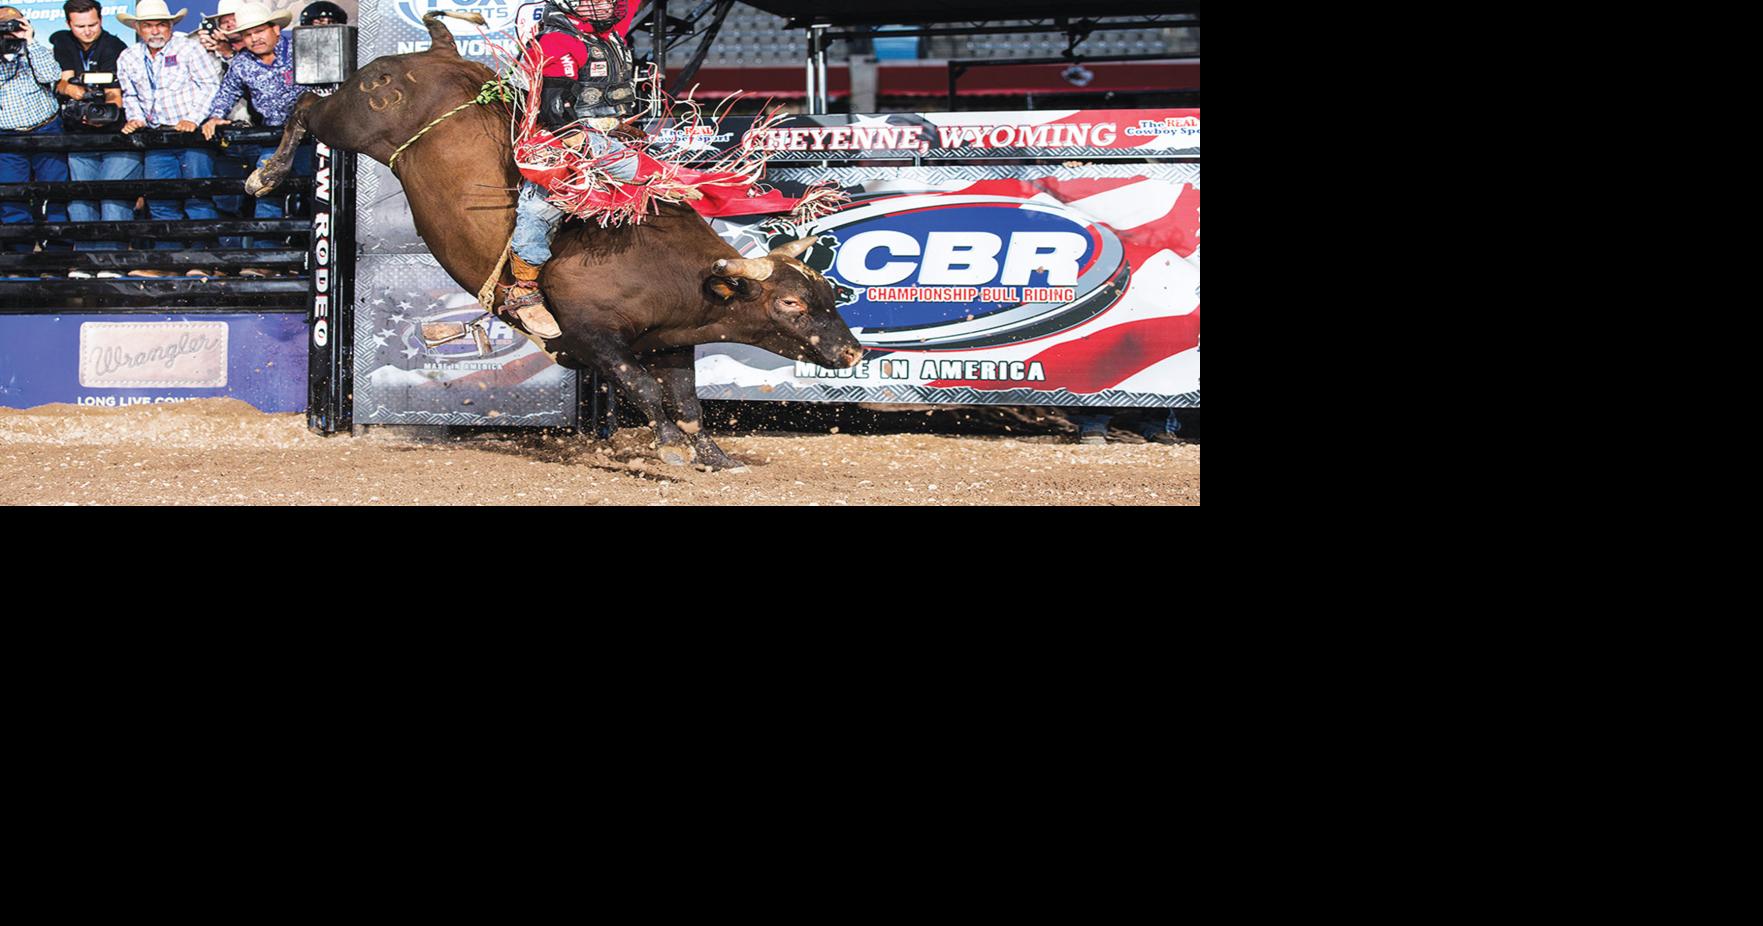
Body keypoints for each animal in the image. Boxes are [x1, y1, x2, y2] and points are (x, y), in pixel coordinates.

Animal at [248, 11, 862, 469]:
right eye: (791, 303)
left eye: (828, 295)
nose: (854, 351)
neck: (675, 274)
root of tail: (436, 53)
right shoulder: (594, 335)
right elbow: (643, 387)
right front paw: (670, 449)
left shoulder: (673, 341)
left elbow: (688, 402)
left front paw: (714, 456)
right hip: (349, 117)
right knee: (308, 106)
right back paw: (265, 174)